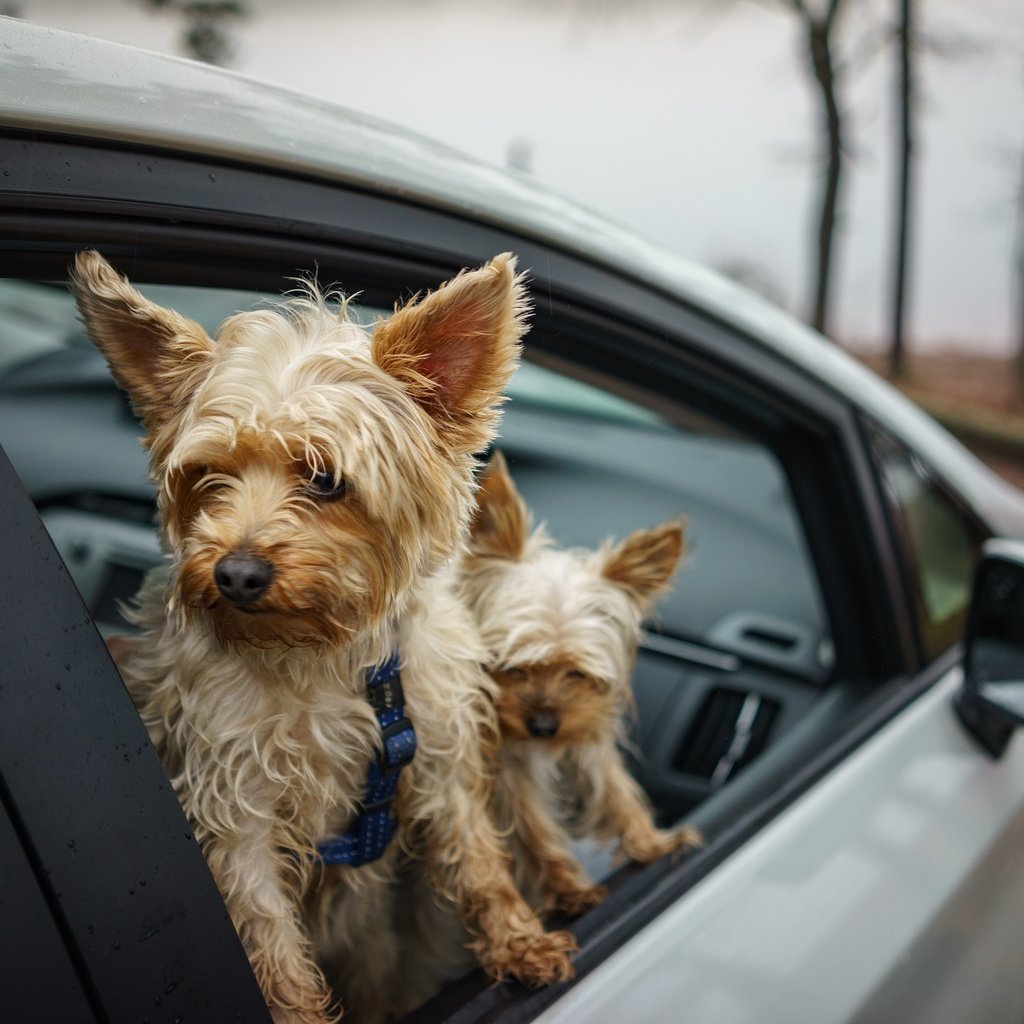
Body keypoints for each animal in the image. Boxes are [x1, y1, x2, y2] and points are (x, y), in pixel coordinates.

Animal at [74, 249, 577, 1024]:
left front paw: (519, 940)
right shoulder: (232, 798)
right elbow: (268, 936)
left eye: (325, 479)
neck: (323, 651)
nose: (236, 574)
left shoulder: (436, 746)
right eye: (209, 475)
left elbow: (477, 856)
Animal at [464, 452, 704, 917]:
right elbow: (532, 824)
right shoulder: (504, 757)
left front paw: (654, 844)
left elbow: (613, 788)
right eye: (511, 666)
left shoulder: (587, 726)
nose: (543, 727)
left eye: (577, 674)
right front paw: (568, 890)